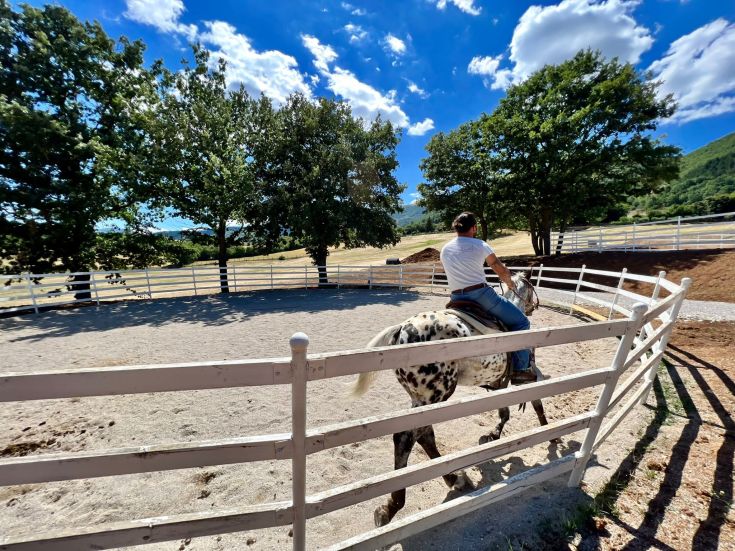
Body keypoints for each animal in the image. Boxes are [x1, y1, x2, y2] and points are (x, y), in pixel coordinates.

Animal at [352, 272, 554, 527]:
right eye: (531, 287)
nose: (534, 306)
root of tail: (403, 331)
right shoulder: (527, 375)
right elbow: (536, 401)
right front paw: (551, 433)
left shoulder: (499, 383)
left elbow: (504, 412)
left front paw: (493, 435)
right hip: (437, 393)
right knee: (407, 438)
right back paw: (393, 506)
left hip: (421, 398)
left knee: (424, 435)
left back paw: (453, 479)